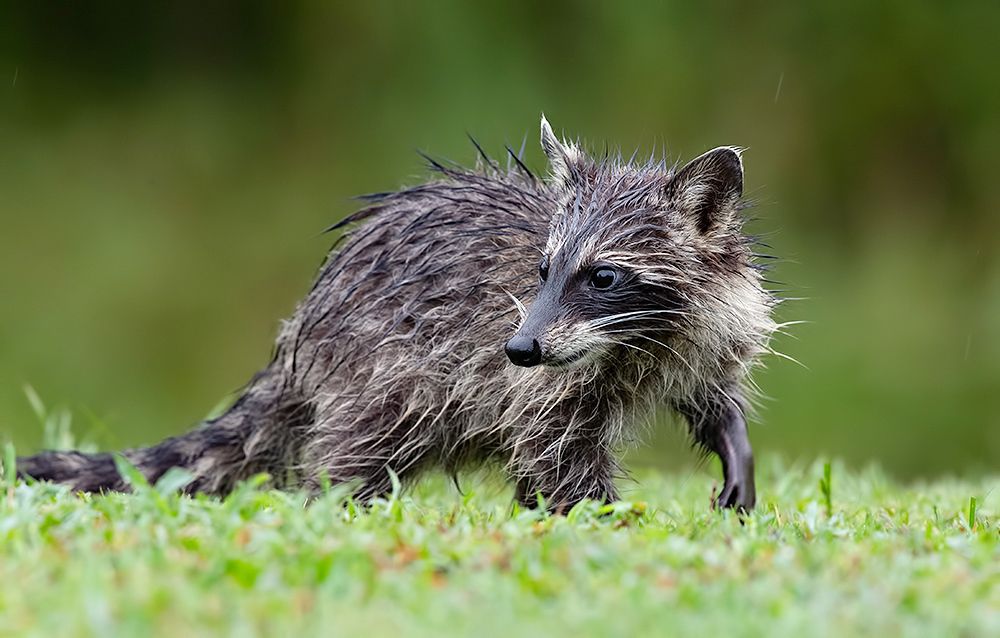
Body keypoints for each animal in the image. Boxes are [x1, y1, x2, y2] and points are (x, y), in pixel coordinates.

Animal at [18, 116, 778, 512]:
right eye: (541, 270)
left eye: (604, 276)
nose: (520, 349)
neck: (638, 340)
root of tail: (298, 339)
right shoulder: (540, 379)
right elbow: (554, 448)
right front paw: (603, 520)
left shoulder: (705, 332)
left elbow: (712, 395)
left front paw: (734, 446)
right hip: (377, 372)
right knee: (357, 452)